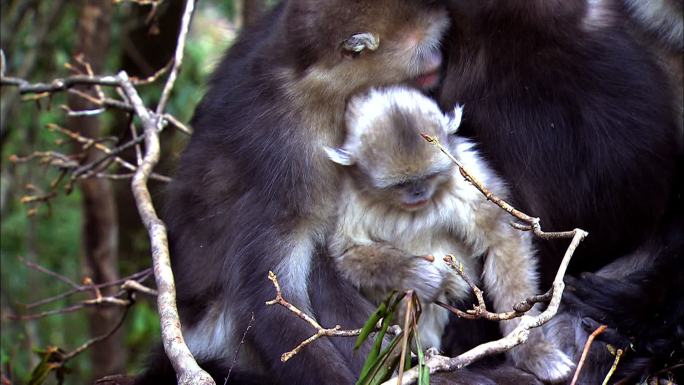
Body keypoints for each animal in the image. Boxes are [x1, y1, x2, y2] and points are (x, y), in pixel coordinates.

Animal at [324, 86, 576, 380]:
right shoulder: (348, 198)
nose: (418, 192)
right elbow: (346, 254)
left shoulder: (464, 175)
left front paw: (530, 349)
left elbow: (502, 238)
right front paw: (418, 275)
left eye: (428, 177)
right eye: (401, 185)